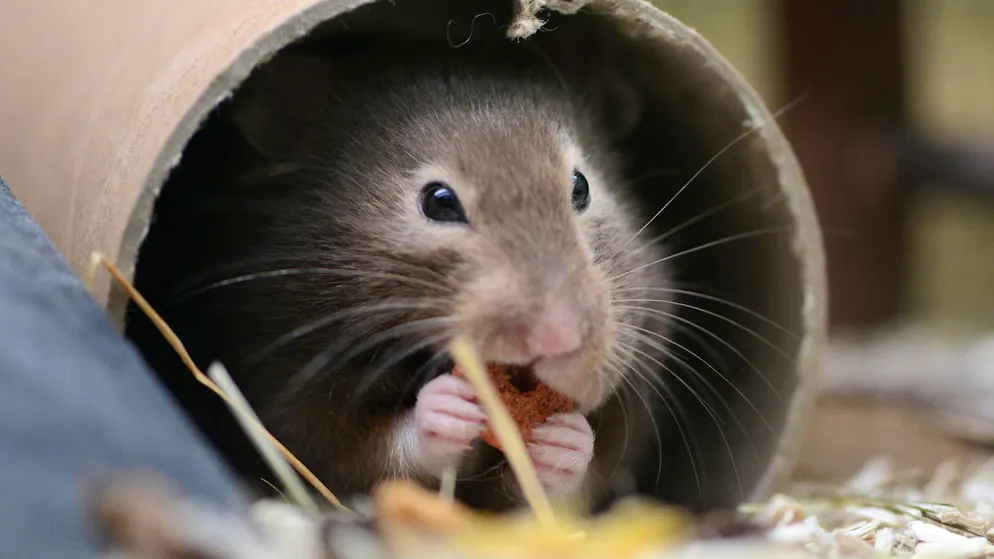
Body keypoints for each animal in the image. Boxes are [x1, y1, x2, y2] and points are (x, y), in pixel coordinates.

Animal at [126, 34, 673, 512]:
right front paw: (450, 407)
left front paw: (563, 438)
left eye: (580, 187)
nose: (557, 338)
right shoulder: (286, 395)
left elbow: (577, 482)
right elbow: (377, 457)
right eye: (438, 202)